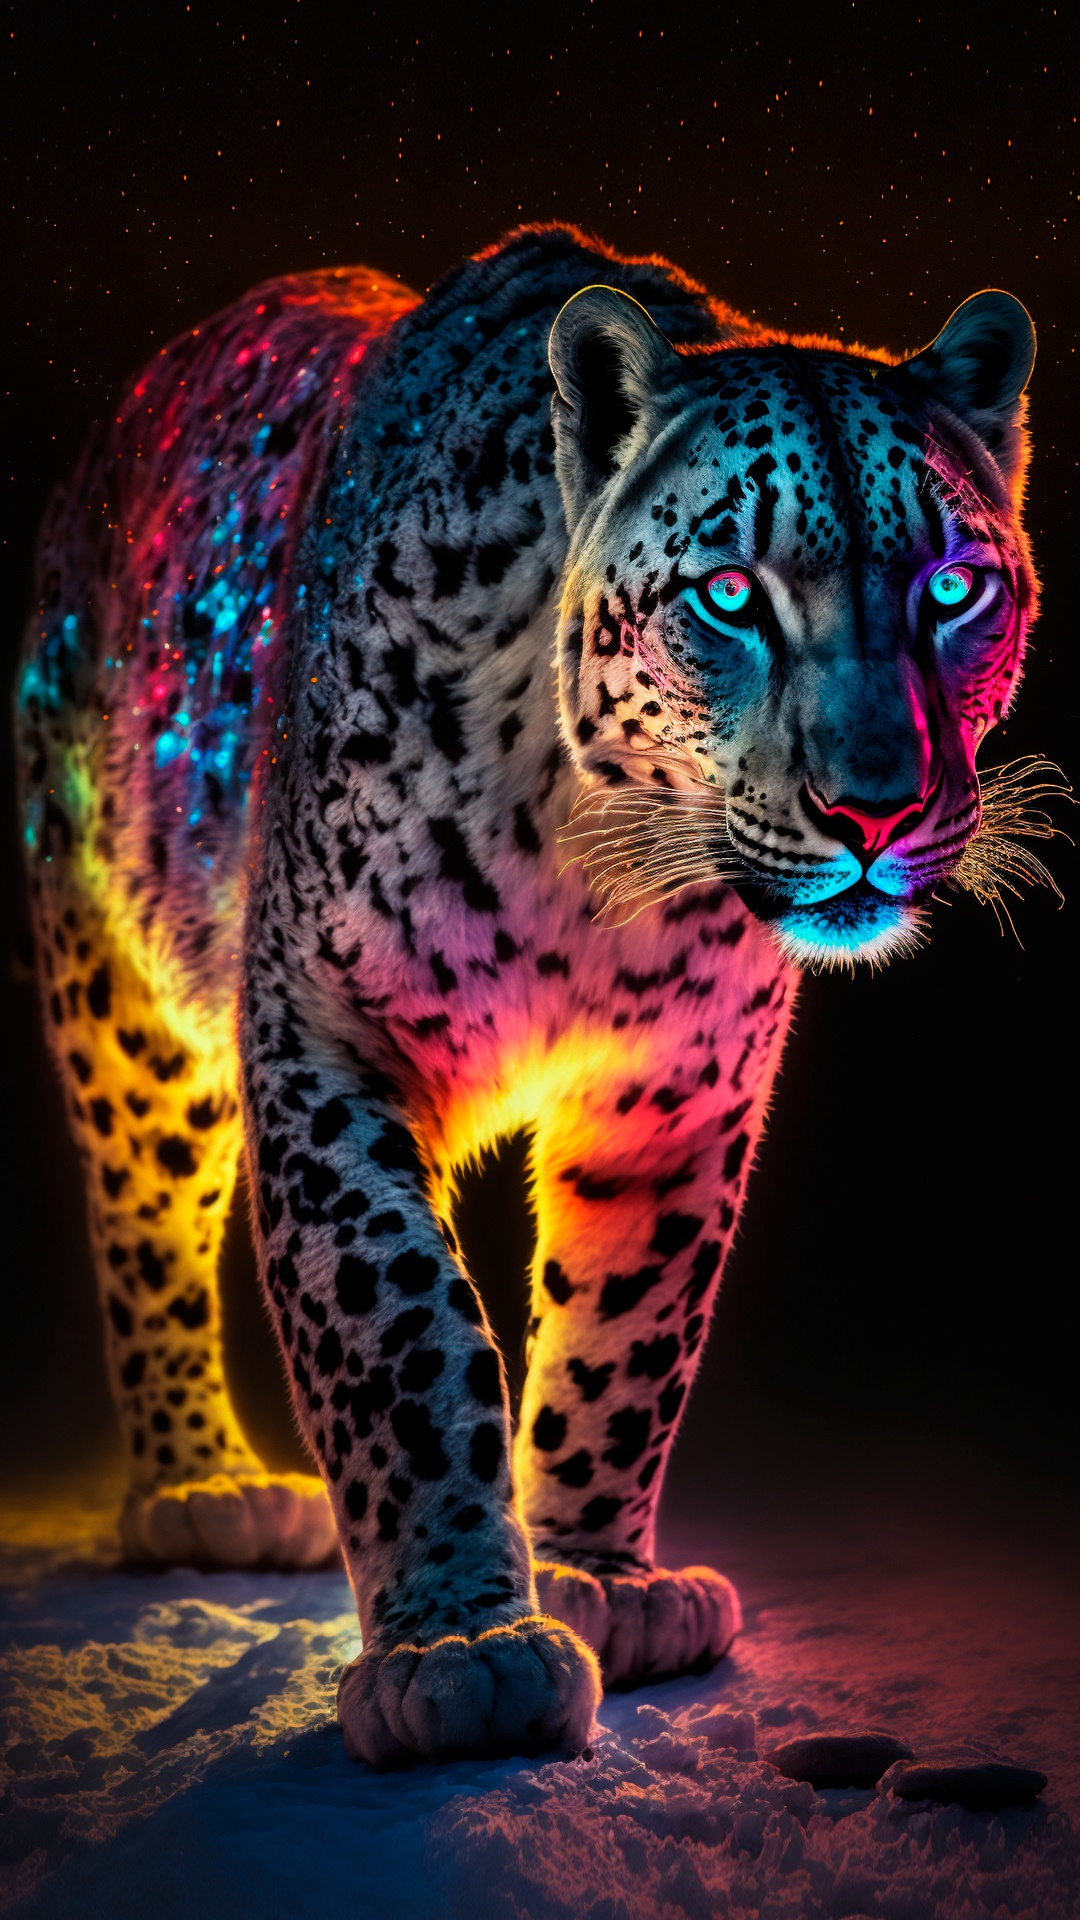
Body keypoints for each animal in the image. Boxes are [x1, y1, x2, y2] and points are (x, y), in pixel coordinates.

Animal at [16, 223, 1040, 1768]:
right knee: (142, 1213)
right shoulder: (328, 1031)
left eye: (952, 590)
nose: (875, 808)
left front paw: (599, 1579)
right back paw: (202, 1489)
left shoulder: (679, 1090)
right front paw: (462, 1651)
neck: (596, 857)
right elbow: (401, 1324)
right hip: (118, 984)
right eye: (729, 596)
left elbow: (633, 1330)